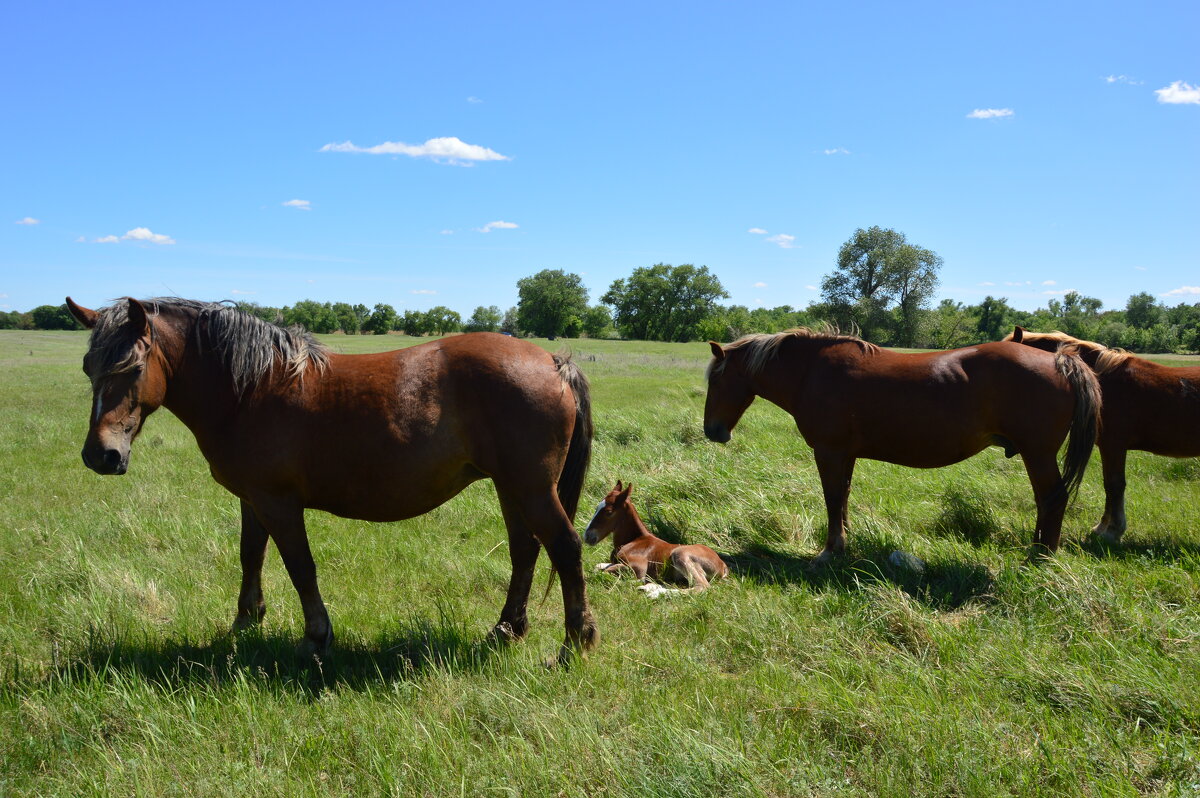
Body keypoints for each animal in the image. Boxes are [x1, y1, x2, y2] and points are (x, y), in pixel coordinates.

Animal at [63, 295, 597, 662]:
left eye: (132, 367)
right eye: (88, 367)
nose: (100, 455)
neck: (250, 389)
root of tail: (554, 363)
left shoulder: (278, 502)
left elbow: (301, 567)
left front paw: (316, 638)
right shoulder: (252, 499)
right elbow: (251, 556)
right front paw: (244, 623)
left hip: (530, 488)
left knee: (564, 547)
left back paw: (576, 642)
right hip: (511, 488)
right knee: (525, 551)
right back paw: (507, 629)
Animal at [583, 482, 729, 595]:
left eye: (609, 512)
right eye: (596, 508)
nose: (587, 536)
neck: (633, 541)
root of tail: (723, 564)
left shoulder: (638, 569)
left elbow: (604, 572)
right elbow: (598, 567)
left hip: (681, 554)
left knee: (701, 586)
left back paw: (653, 592)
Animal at [700, 326, 1104, 559]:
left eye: (716, 380)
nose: (712, 431)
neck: (812, 373)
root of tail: (1061, 361)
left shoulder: (829, 452)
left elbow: (832, 498)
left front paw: (830, 551)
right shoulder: (845, 455)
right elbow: (842, 498)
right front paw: (844, 543)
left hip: (1038, 454)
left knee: (1052, 498)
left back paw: (1040, 557)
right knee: (1046, 500)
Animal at [1003, 326, 1200, 542]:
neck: (1101, 380)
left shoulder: (1113, 445)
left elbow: (1114, 485)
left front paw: (1112, 530)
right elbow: (1110, 486)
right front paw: (1103, 527)